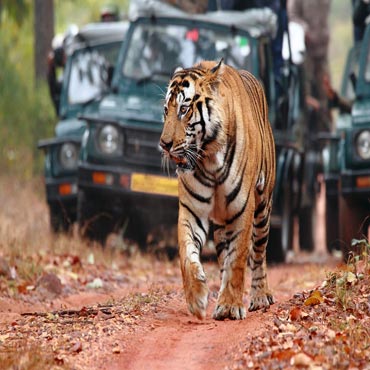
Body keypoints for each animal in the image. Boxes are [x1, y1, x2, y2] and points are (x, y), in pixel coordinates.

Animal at [159, 59, 274, 320]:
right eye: (166, 110)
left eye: (184, 109)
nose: (164, 144)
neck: (209, 158)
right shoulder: (191, 211)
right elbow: (187, 255)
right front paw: (196, 298)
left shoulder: (243, 209)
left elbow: (238, 259)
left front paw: (231, 305)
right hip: (223, 221)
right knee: (224, 254)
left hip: (263, 207)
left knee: (259, 253)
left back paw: (260, 297)